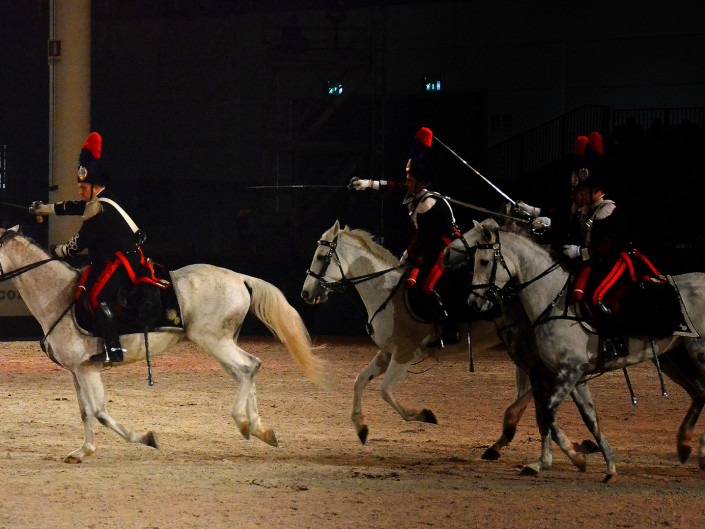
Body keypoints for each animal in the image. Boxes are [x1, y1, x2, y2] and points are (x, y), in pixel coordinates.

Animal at [0, 227, 324, 462]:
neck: (59, 295)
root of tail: (239, 278)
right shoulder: (76, 371)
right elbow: (85, 412)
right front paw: (83, 451)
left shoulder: (86, 369)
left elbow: (100, 412)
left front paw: (146, 439)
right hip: (220, 344)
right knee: (247, 370)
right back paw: (260, 429)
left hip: (213, 341)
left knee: (248, 367)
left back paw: (245, 424)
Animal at [452, 217, 704, 480]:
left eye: (484, 261)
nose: (473, 302)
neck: (551, 301)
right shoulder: (567, 376)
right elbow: (583, 417)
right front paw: (603, 463)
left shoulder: (567, 371)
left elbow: (547, 413)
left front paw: (573, 456)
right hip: (672, 359)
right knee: (700, 393)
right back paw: (686, 447)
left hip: (698, 352)